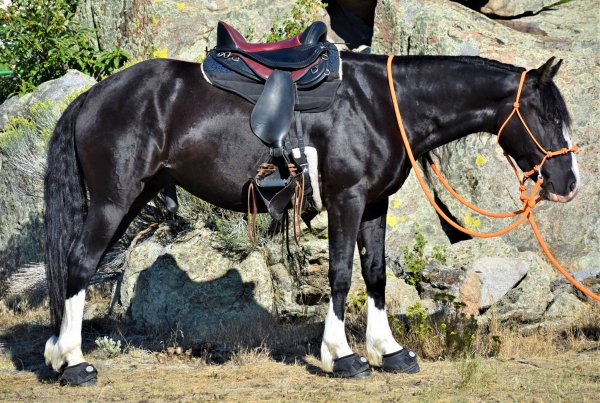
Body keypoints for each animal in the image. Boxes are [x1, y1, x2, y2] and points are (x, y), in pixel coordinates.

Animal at [41, 49, 576, 384]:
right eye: (549, 116)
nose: (568, 183)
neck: (382, 105)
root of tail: (93, 96)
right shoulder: (347, 201)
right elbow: (340, 275)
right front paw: (343, 356)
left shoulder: (374, 205)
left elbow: (375, 274)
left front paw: (388, 351)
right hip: (114, 200)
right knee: (79, 265)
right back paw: (72, 362)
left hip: (132, 199)